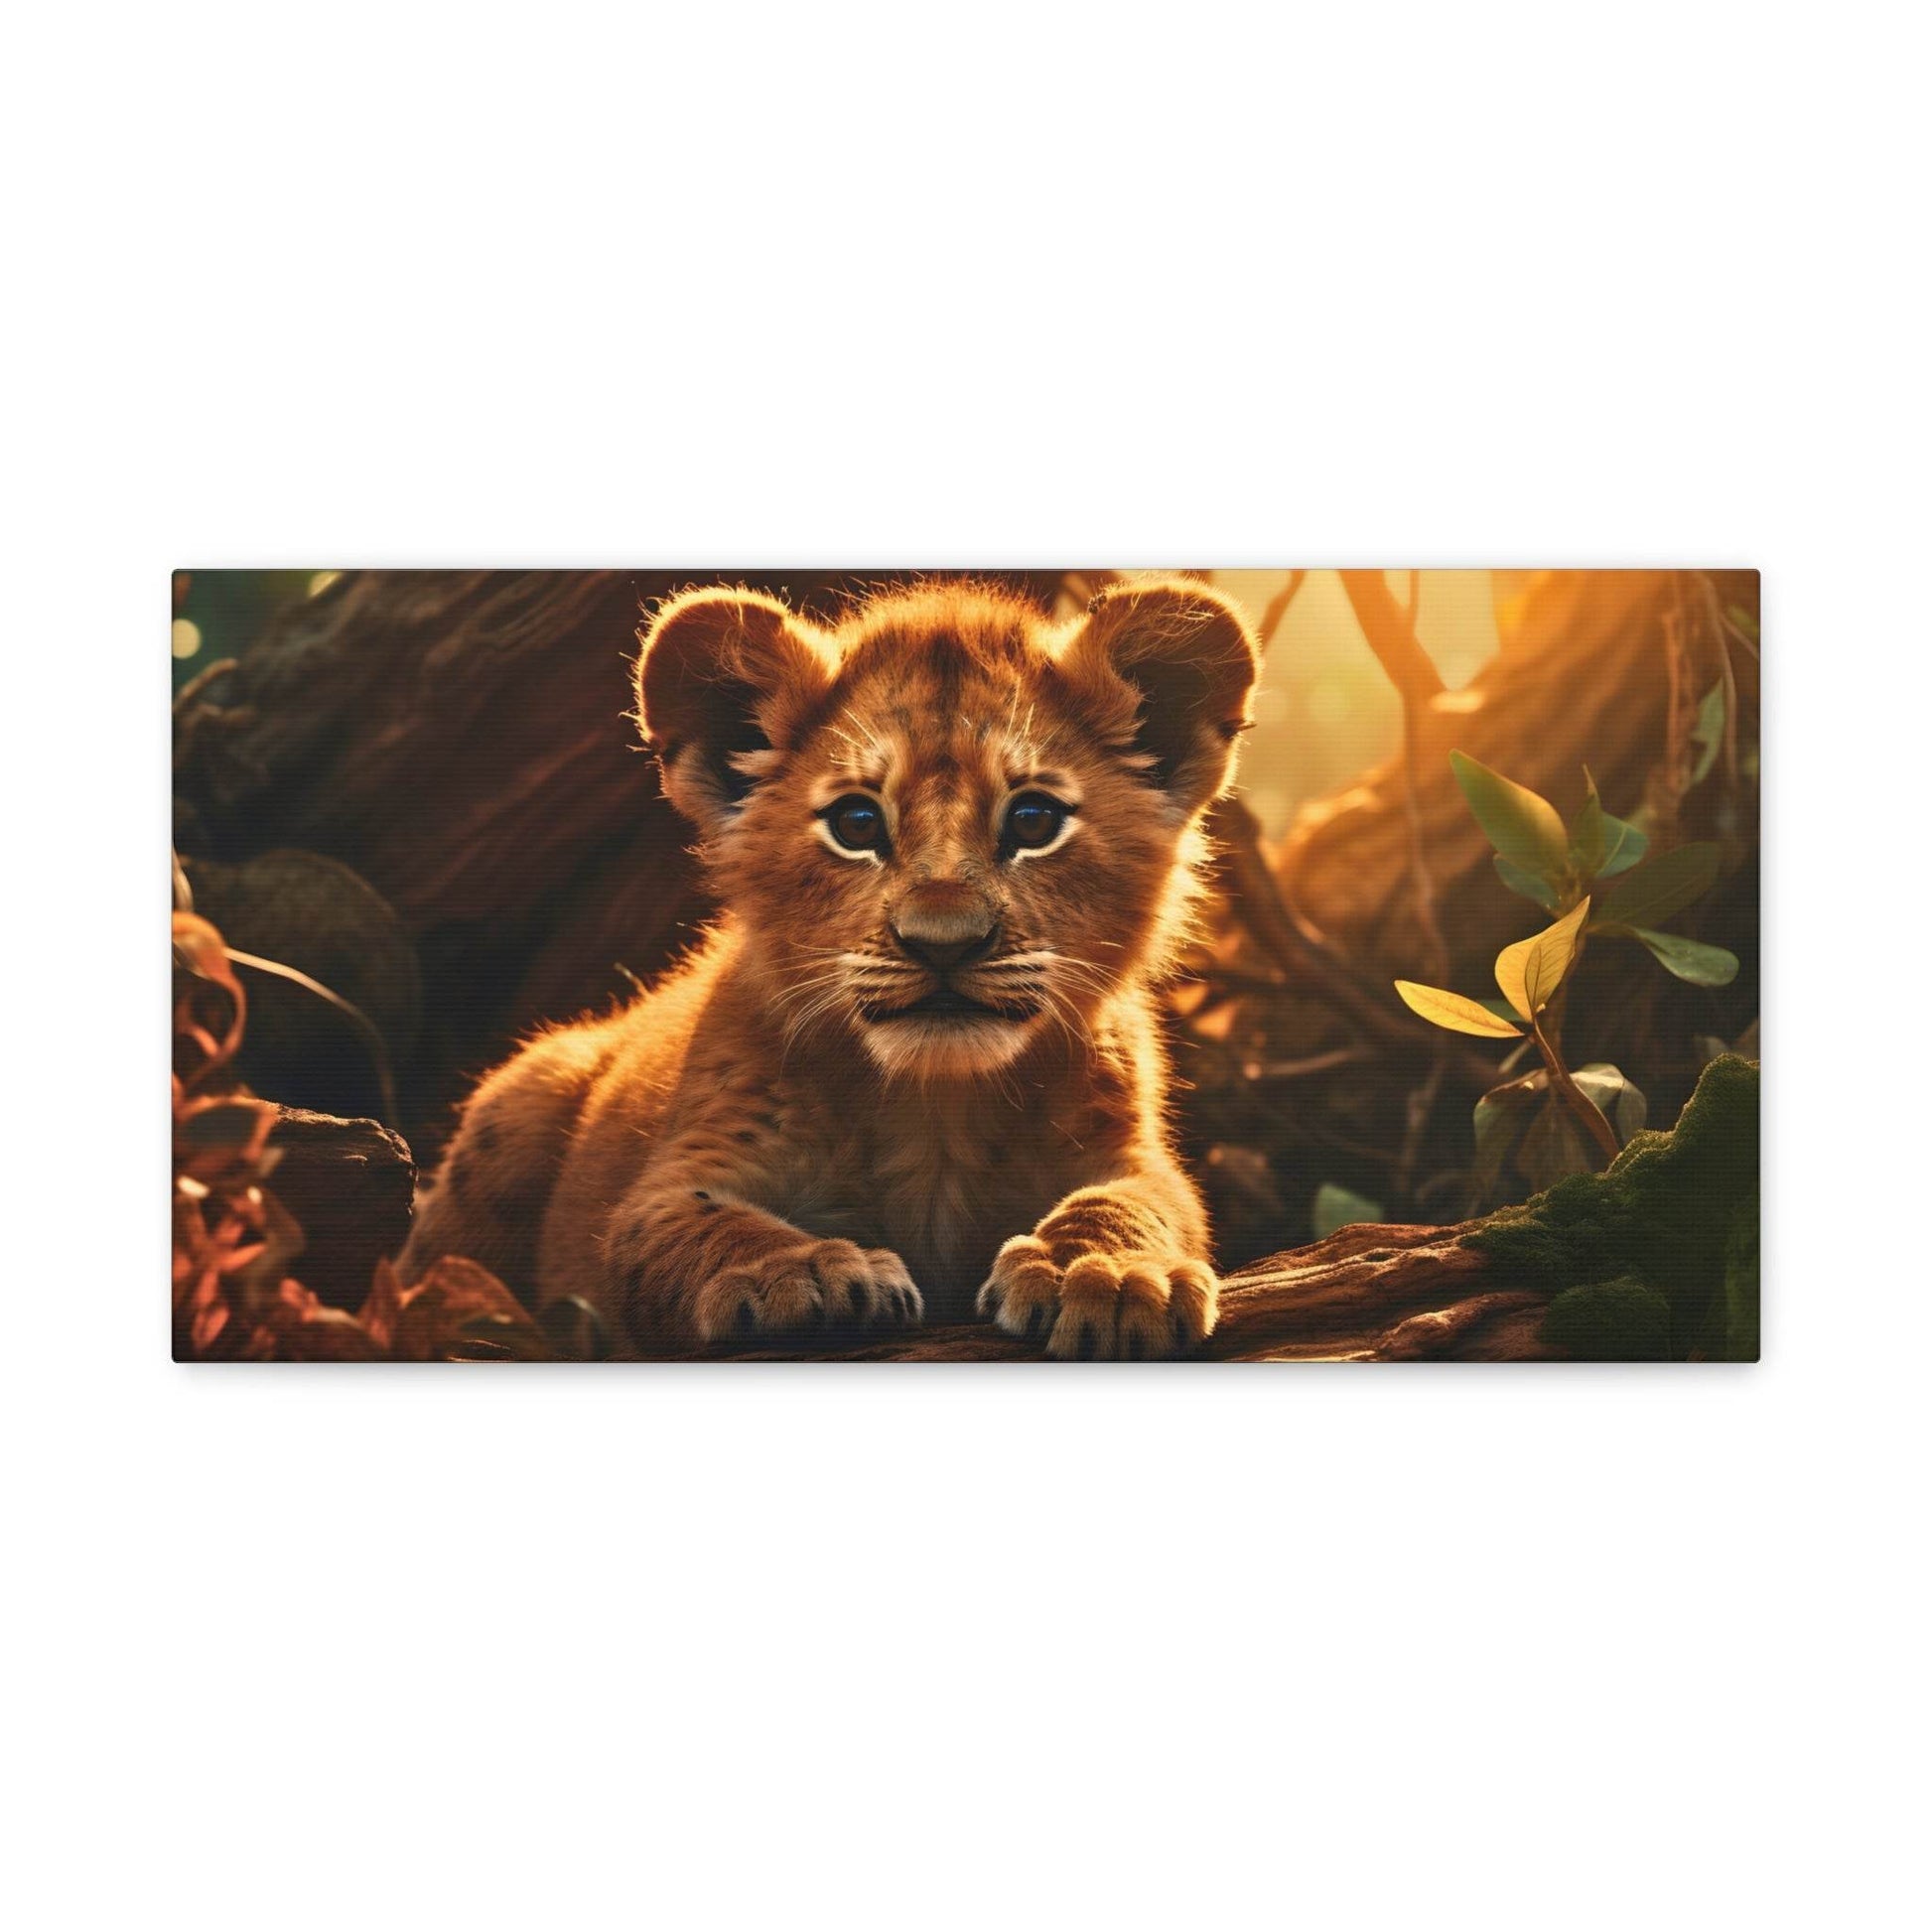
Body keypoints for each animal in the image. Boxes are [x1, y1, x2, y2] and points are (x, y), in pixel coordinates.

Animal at [398, 575, 1261, 1358]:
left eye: (1032, 819)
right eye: (856, 823)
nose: (943, 942)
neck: (935, 1113)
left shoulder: (1133, 1155)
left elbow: (1133, 1203)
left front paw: (1108, 1275)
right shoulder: (673, 1180)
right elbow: (707, 1224)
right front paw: (801, 1273)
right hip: (521, 1100)